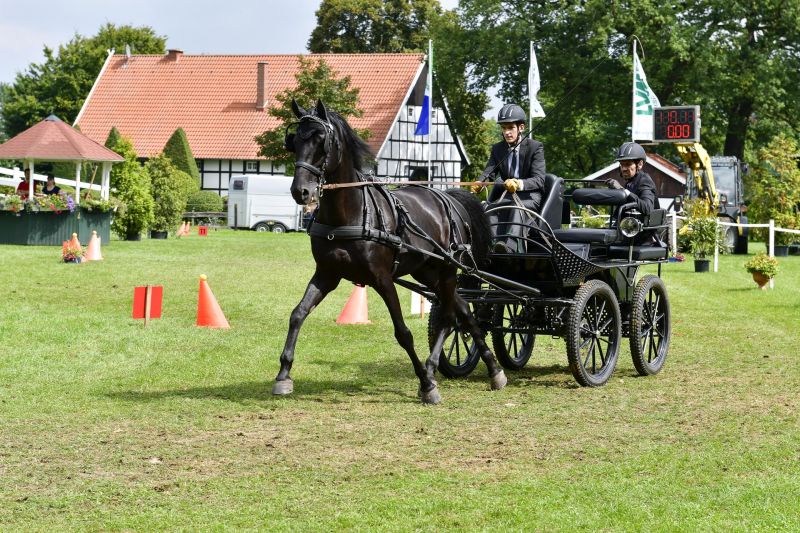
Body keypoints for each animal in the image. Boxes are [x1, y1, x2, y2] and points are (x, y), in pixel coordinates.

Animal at [272, 99, 507, 404]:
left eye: (321, 140)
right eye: (294, 141)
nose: (300, 191)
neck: (349, 214)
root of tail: (447, 198)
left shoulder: (383, 279)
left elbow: (403, 332)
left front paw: (427, 386)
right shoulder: (326, 275)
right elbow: (297, 314)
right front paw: (283, 375)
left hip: (446, 271)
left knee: (449, 316)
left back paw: (436, 373)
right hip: (427, 272)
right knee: (463, 312)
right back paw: (489, 369)